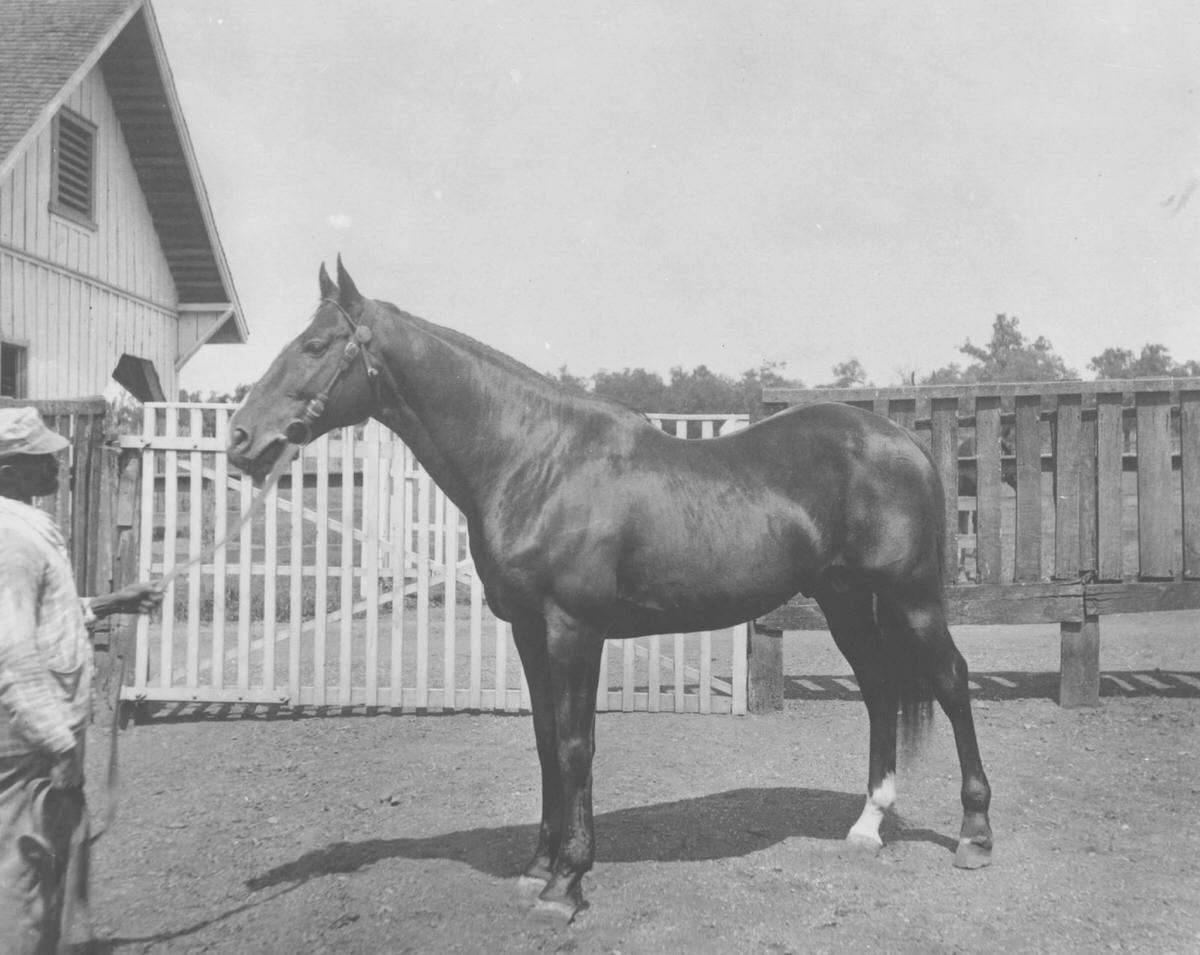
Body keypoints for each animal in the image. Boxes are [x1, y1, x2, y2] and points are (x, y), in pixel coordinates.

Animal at [226, 259, 993, 916]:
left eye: (315, 345)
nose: (240, 438)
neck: (535, 460)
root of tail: (902, 440)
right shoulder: (528, 628)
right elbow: (544, 740)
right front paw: (538, 865)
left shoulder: (573, 626)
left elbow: (574, 745)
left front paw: (567, 881)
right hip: (844, 600)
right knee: (881, 690)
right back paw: (867, 825)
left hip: (911, 599)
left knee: (951, 682)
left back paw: (975, 834)